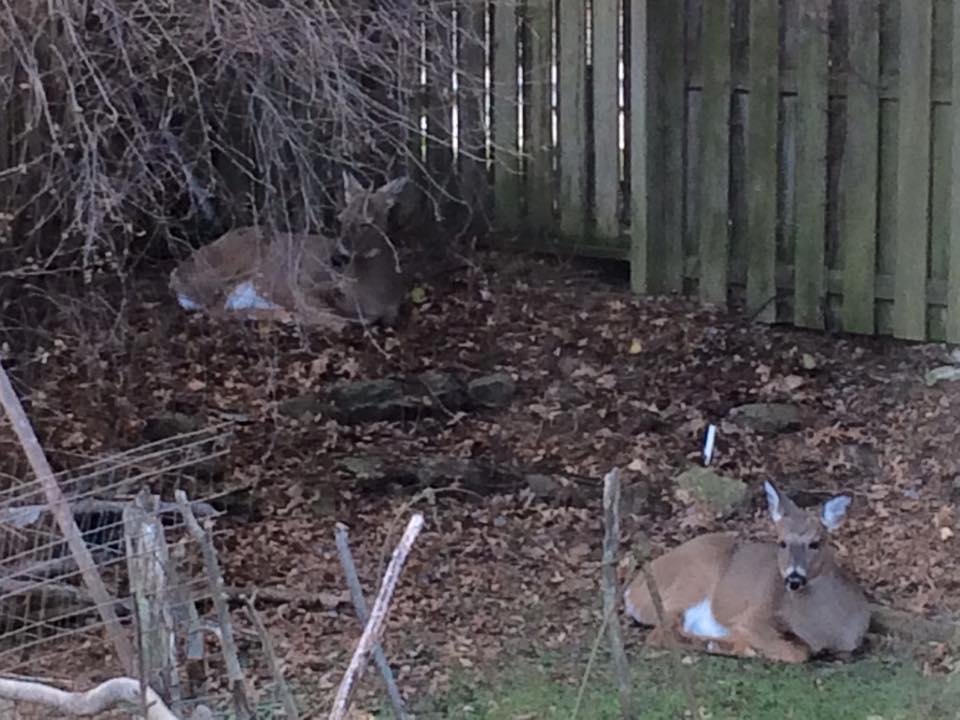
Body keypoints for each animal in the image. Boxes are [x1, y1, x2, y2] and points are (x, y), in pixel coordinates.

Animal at [169, 172, 411, 327]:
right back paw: (281, 314)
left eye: (366, 223)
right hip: (234, 264)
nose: (337, 257)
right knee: (216, 310)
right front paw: (300, 316)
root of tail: (176, 275)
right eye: (341, 219)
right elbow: (338, 321)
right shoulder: (302, 286)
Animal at [623, 481, 870, 663]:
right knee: (660, 633)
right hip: (693, 579)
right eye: (782, 542)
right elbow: (796, 653)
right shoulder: (752, 617)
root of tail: (630, 592)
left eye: (815, 543)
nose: (794, 578)